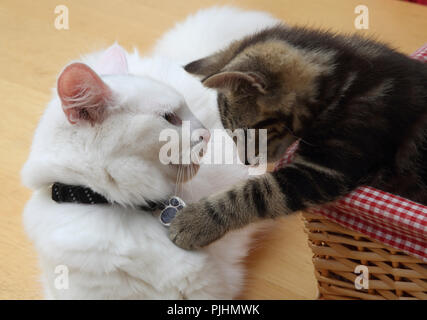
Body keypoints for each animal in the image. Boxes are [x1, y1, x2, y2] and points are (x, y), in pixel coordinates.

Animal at [169, 25, 427, 250]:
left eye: (247, 132)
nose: (246, 161)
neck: (345, 81)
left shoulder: (325, 168)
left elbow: (257, 192)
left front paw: (195, 220)